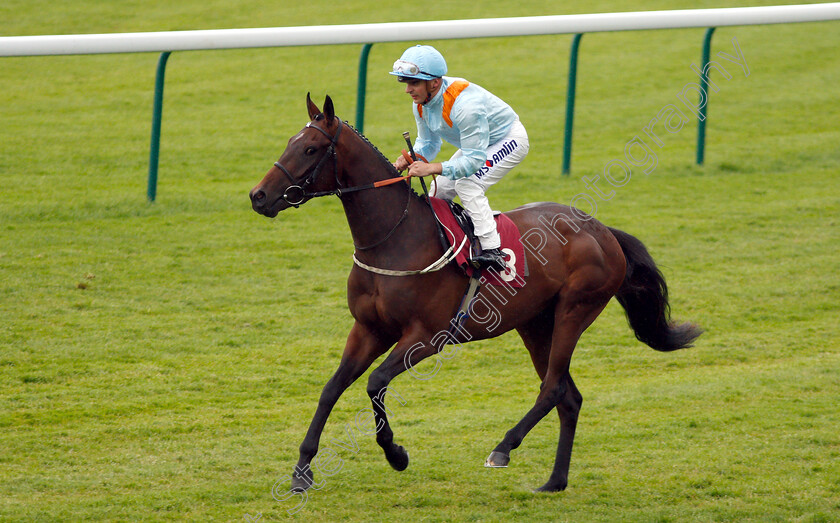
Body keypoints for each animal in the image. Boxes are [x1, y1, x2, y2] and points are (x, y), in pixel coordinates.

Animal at [249, 95, 704, 496]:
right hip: (535, 324)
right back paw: (554, 481)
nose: (258, 196)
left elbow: (375, 383)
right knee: (569, 397)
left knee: (553, 389)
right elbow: (331, 389)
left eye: (310, 148)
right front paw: (301, 472)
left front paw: (396, 453)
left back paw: (503, 449)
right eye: (289, 142)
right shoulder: (368, 329)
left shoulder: (427, 336)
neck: (395, 239)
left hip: (575, 310)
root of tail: (601, 229)